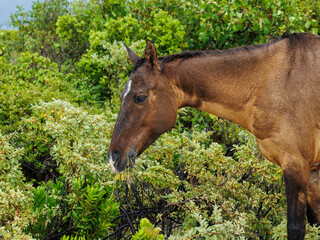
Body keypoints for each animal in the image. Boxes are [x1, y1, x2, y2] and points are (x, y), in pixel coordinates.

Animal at [109, 32, 320, 239]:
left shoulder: (296, 165)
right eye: (121, 96)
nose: (114, 158)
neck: (273, 82)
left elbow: (296, 228)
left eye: (140, 97)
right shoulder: (311, 172)